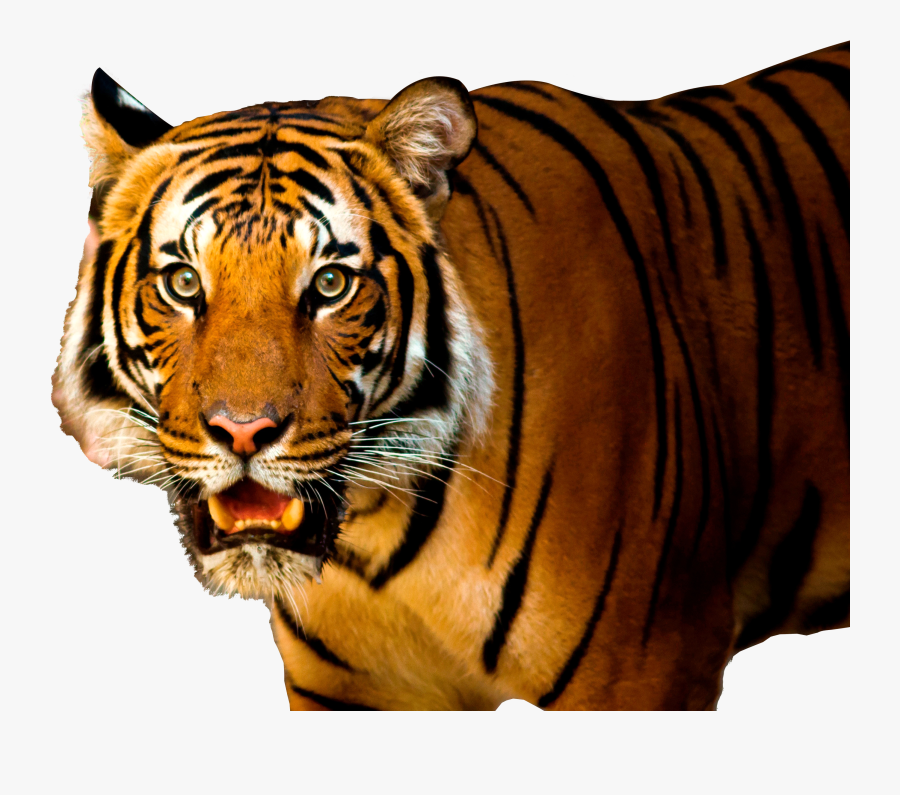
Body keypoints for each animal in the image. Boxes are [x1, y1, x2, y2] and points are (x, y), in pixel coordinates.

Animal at [53, 41, 849, 710]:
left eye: (331, 283)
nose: (243, 433)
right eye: (184, 283)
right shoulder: (345, 693)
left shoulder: (646, 669)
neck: (376, 537)